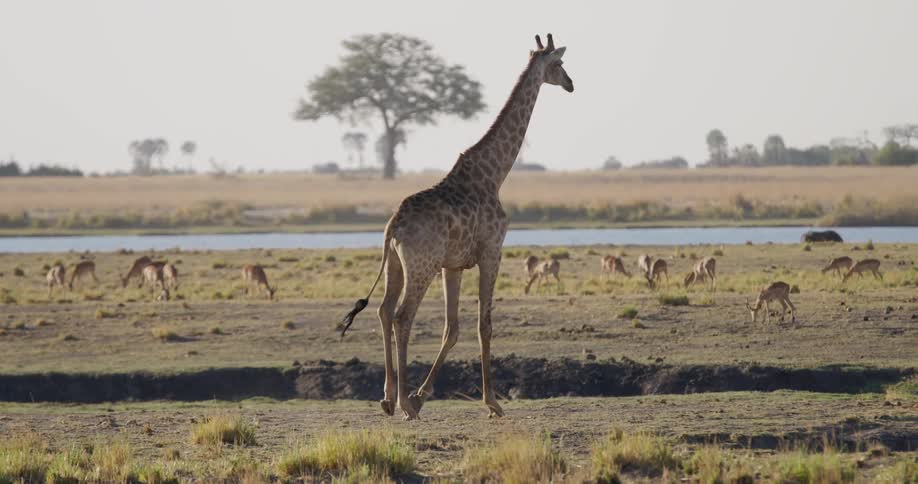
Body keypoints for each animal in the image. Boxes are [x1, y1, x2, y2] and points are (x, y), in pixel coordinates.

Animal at [340, 34, 574, 420]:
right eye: (559, 64)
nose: (571, 84)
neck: (494, 175)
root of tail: (393, 227)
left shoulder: (454, 265)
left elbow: (452, 329)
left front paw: (423, 395)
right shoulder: (492, 251)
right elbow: (484, 324)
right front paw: (492, 402)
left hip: (396, 265)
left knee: (384, 310)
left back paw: (388, 398)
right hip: (422, 266)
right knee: (403, 316)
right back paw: (404, 404)